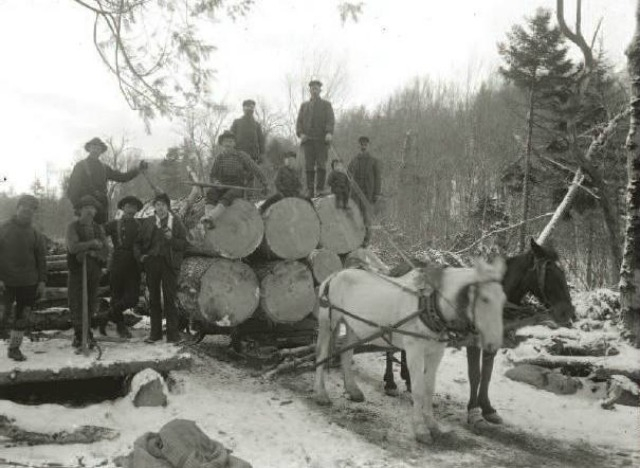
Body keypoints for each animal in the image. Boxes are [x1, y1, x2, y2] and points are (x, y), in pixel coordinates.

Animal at [312, 258, 508, 444]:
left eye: (504, 299)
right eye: (485, 299)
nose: (494, 343)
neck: (430, 304)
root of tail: (335, 275)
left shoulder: (436, 352)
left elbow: (429, 388)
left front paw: (433, 425)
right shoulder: (415, 350)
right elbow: (418, 389)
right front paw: (421, 429)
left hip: (354, 325)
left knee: (346, 353)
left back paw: (353, 390)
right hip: (328, 321)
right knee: (321, 354)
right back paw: (321, 394)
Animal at [380, 239, 576, 426]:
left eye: (563, 272)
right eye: (549, 271)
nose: (568, 312)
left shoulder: (492, 342)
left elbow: (487, 375)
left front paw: (488, 409)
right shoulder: (472, 341)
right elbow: (475, 374)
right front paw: (474, 411)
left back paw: (408, 381)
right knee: (389, 348)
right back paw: (390, 383)